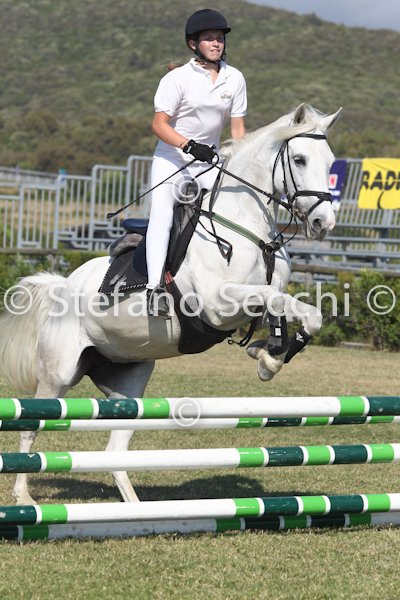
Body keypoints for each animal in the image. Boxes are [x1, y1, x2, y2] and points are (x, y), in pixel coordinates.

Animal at [0, 103, 341, 505]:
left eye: (331, 161)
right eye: (300, 159)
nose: (323, 222)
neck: (246, 227)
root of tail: (62, 286)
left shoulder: (257, 298)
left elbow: (300, 312)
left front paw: (267, 354)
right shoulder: (217, 305)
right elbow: (280, 302)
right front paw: (268, 358)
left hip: (128, 382)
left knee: (115, 450)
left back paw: (134, 509)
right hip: (58, 375)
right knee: (32, 426)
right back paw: (24, 496)